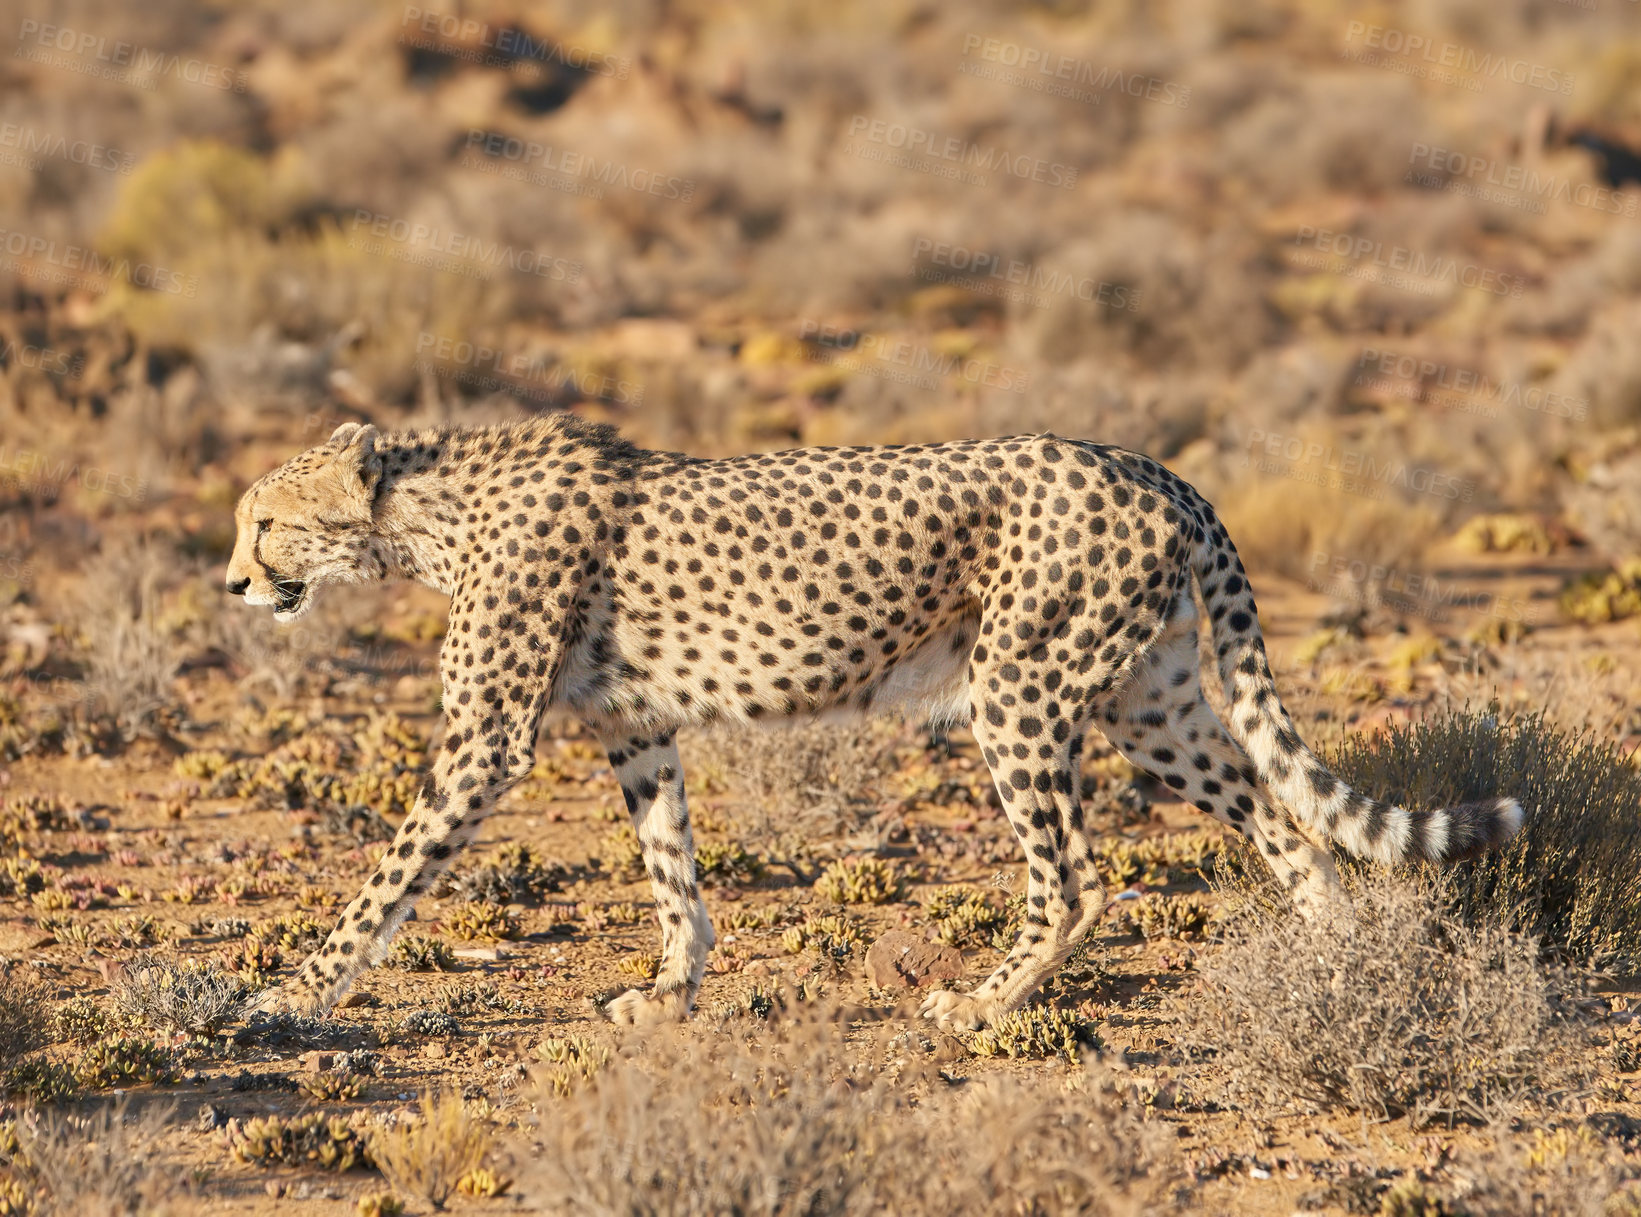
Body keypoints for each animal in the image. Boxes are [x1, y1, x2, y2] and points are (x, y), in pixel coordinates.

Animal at [224, 416, 1516, 1030]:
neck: (425, 513)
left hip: (1019, 689)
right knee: (1288, 824)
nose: (234, 582)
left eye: (268, 520)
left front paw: (293, 993)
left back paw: (985, 1001)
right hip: (1151, 697)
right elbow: (672, 869)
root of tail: (1151, 466)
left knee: (1078, 874)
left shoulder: (488, 737)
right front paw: (672, 989)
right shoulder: (636, 724)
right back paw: (1344, 968)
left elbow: (388, 876)